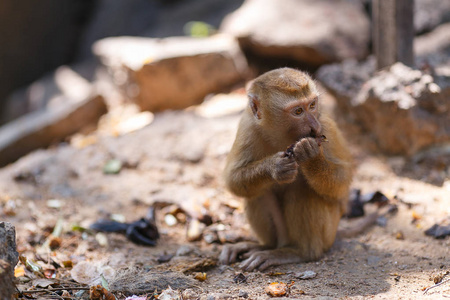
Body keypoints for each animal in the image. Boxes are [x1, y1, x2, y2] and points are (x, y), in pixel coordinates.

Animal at [219, 68, 356, 272]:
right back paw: (265, 247)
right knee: (258, 193)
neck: (283, 138)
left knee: (303, 190)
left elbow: (343, 182)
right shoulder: (248, 127)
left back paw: (300, 252)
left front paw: (312, 158)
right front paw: (274, 167)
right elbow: (233, 179)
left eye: (312, 105)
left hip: (328, 233)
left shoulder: (327, 126)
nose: (314, 126)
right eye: (298, 111)